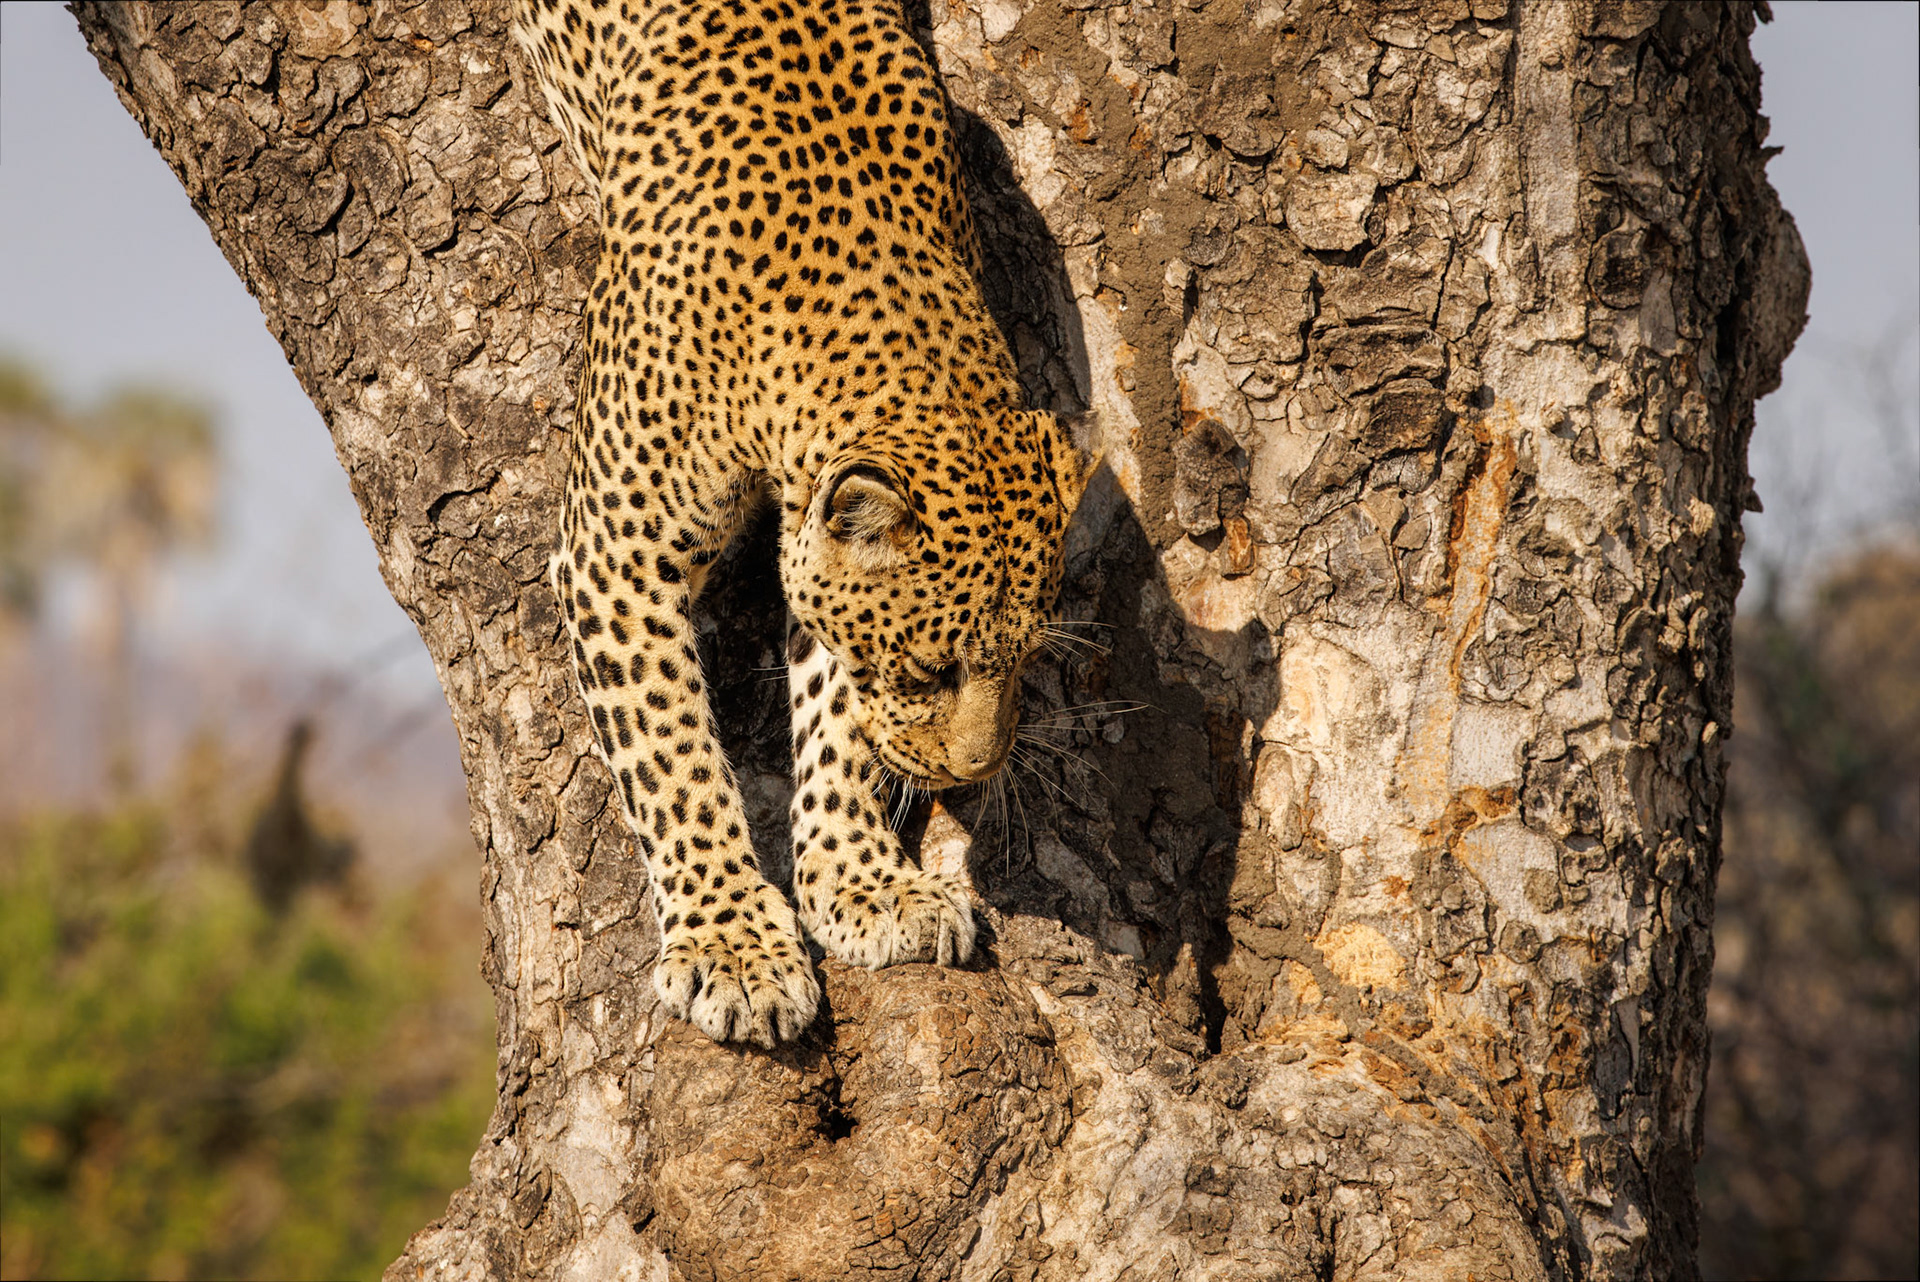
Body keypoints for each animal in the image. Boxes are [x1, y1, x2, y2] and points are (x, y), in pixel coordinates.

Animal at [511, 0, 1097, 1047]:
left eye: (1026, 660)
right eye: (930, 672)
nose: (974, 772)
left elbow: (838, 719)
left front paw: (865, 886)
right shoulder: (616, 553)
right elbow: (670, 749)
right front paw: (732, 946)